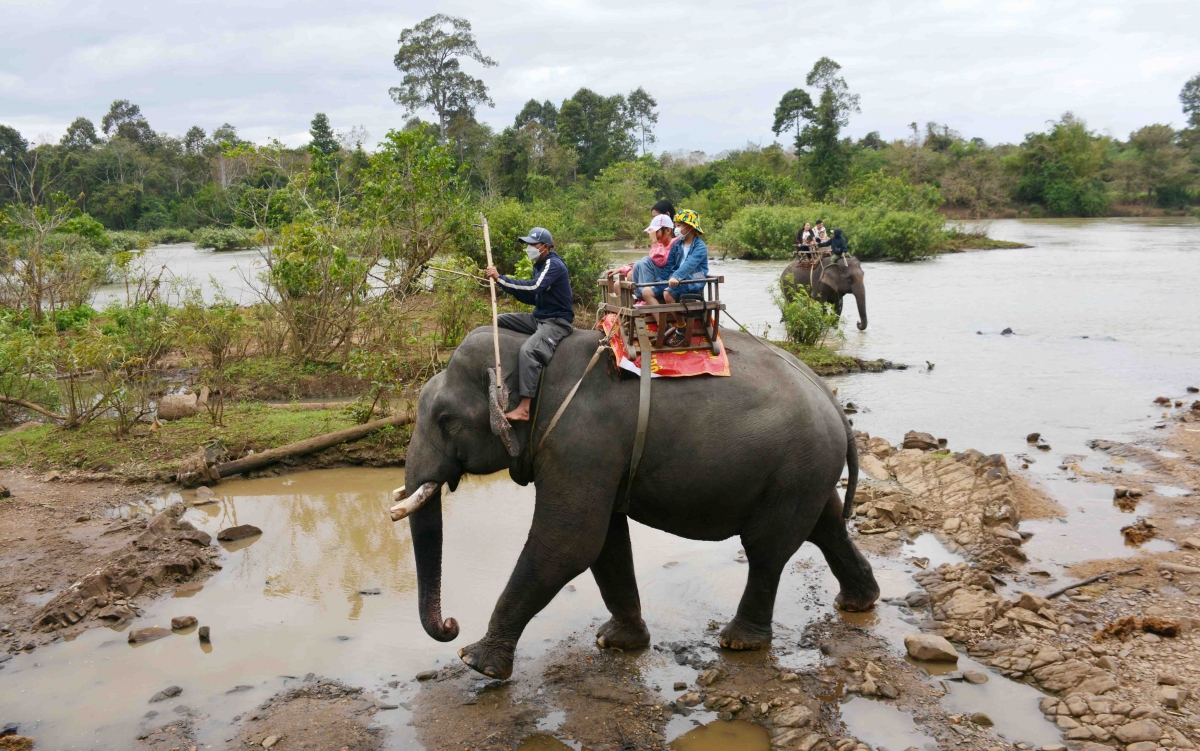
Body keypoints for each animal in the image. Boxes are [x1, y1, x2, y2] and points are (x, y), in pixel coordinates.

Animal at [403, 321, 883, 676]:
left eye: (446, 420)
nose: (451, 624)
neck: (530, 351)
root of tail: (833, 403)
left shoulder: (579, 442)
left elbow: (568, 542)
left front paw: (475, 661)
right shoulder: (594, 455)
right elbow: (605, 542)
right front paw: (616, 641)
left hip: (794, 469)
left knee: (767, 550)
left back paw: (738, 642)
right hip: (806, 472)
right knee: (826, 526)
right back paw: (858, 601)